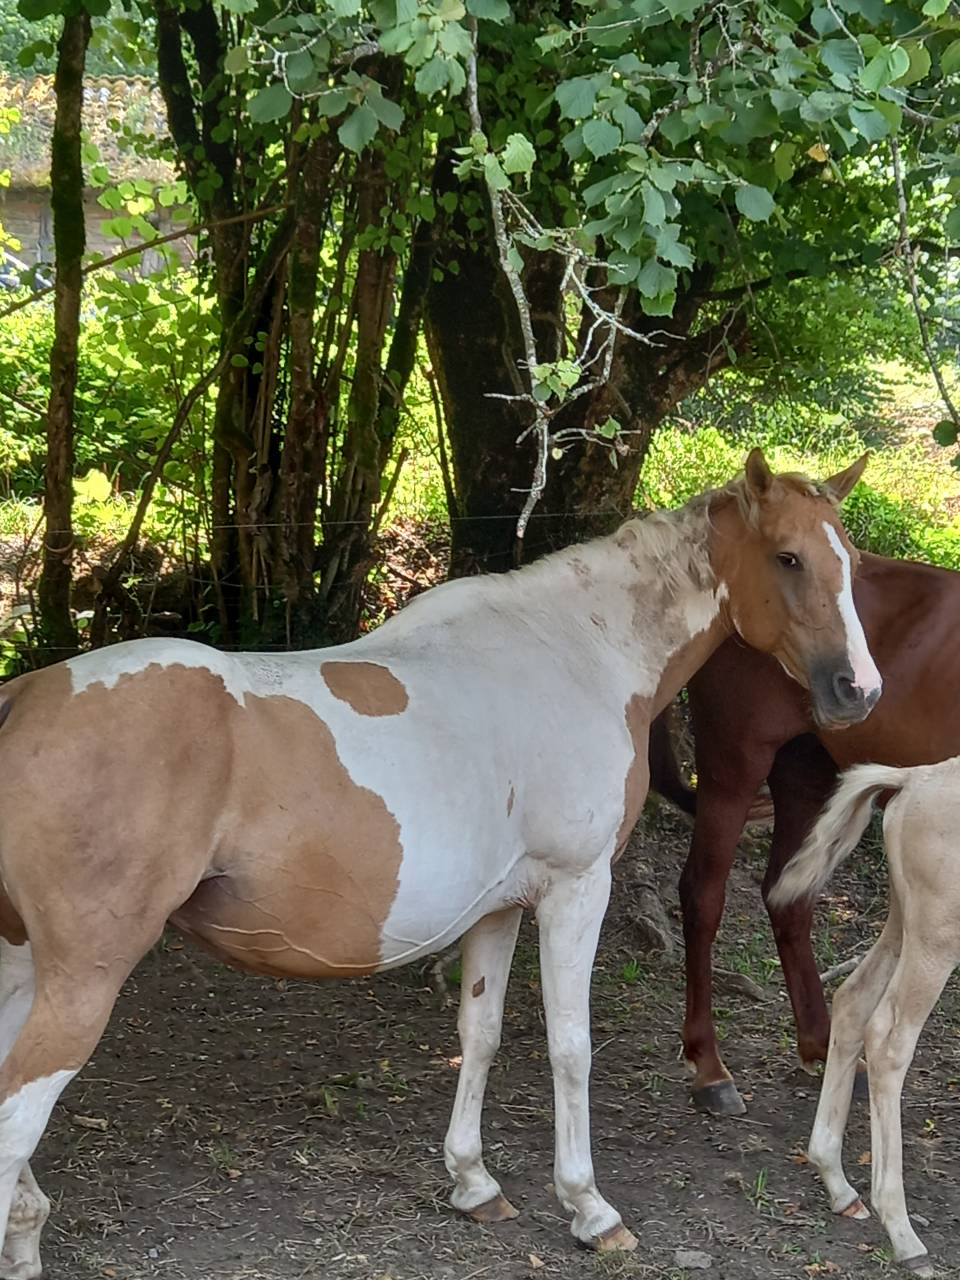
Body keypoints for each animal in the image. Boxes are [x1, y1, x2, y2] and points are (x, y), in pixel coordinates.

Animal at [0, 450, 879, 1277]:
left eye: (854, 563)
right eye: (789, 557)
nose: (860, 690)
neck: (579, 655)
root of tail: (23, 701)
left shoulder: (497, 908)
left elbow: (479, 1035)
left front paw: (473, 1182)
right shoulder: (576, 889)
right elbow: (569, 1047)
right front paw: (588, 1207)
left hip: (22, 966)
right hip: (84, 978)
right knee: (17, 1114)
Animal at [649, 549, 960, 1118]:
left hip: (807, 771)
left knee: (787, 899)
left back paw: (819, 1042)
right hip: (734, 764)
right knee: (702, 894)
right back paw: (709, 1066)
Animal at [771, 758, 958, 1277]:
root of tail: (912, 779)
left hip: (905, 921)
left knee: (853, 1000)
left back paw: (836, 1181)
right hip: (936, 935)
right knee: (889, 1037)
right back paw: (902, 1232)